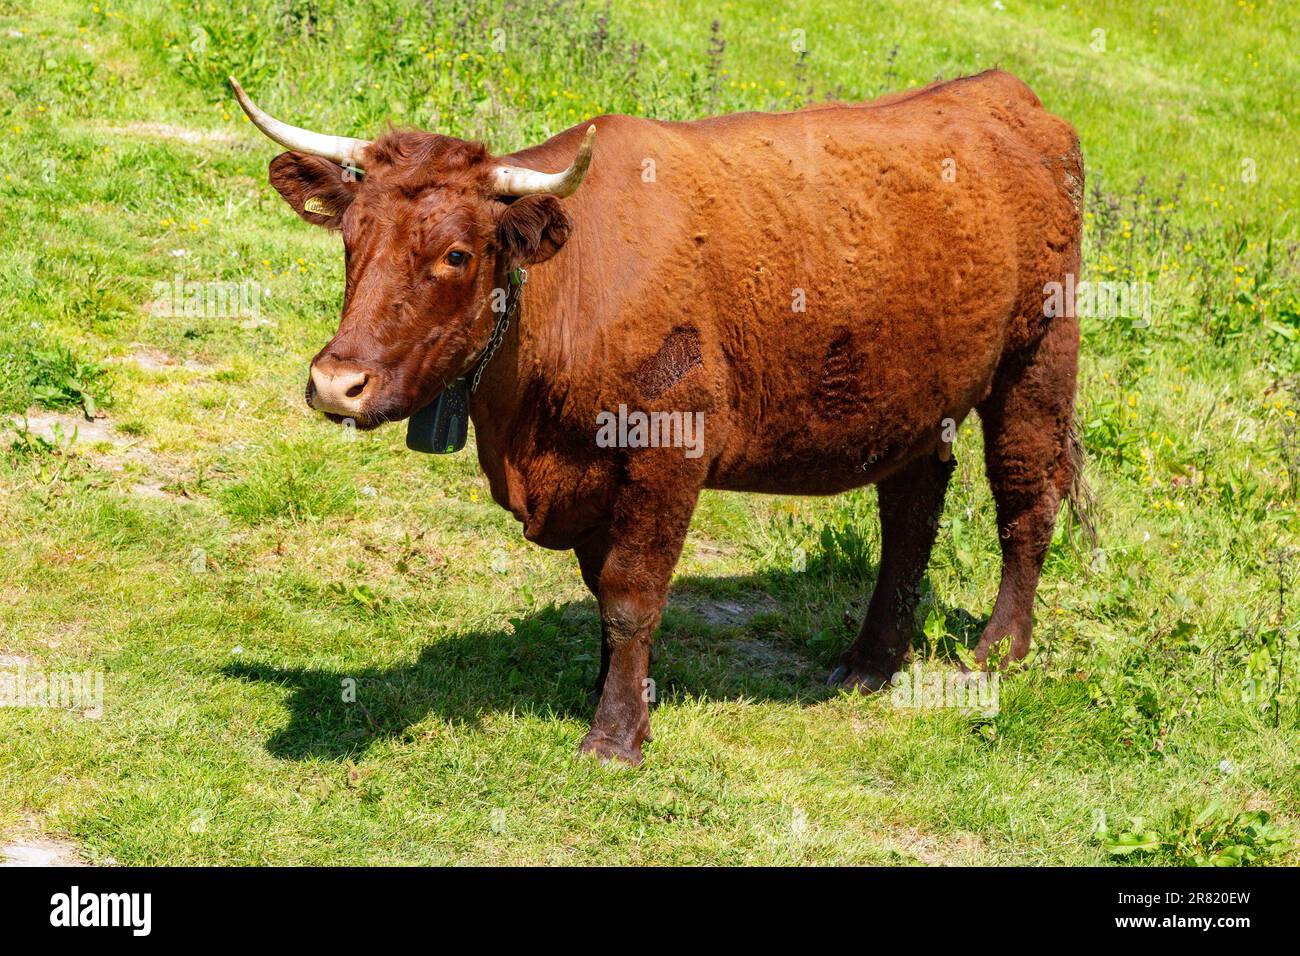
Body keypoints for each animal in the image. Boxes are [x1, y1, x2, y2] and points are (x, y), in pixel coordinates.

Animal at [229, 69, 1088, 765]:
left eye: (457, 255)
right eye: (351, 236)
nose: (336, 383)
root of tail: (1007, 95)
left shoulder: (667, 455)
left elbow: (631, 592)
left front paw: (615, 737)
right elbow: (601, 587)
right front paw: (619, 693)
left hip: (1038, 359)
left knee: (1025, 497)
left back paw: (999, 650)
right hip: (915, 395)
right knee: (912, 510)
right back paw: (871, 662)